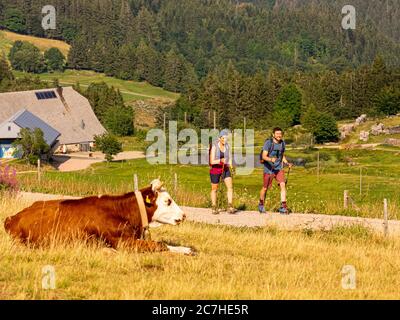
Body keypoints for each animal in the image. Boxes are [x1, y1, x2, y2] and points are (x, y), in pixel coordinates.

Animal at [3, 180, 194, 255]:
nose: (184, 215)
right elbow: (159, 245)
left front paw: (186, 249)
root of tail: (13, 217)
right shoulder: (123, 243)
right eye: (168, 201)